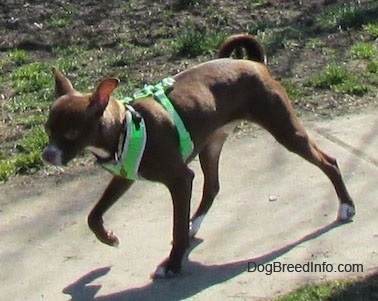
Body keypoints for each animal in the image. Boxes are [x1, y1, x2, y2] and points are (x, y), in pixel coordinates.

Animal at [43, 34, 354, 278]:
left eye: (71, 133)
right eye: (47, 129)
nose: (47, 155)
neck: (124, 128)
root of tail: (253, 63)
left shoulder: (180, 179)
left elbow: (176, 228)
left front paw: (173, 263)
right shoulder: (124, 177)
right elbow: (93, 216)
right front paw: (108, 238)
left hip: (285, 130)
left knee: (329, 162)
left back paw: (346, 206)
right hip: (211, 146)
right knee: (212, 186)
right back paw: (195, 222)